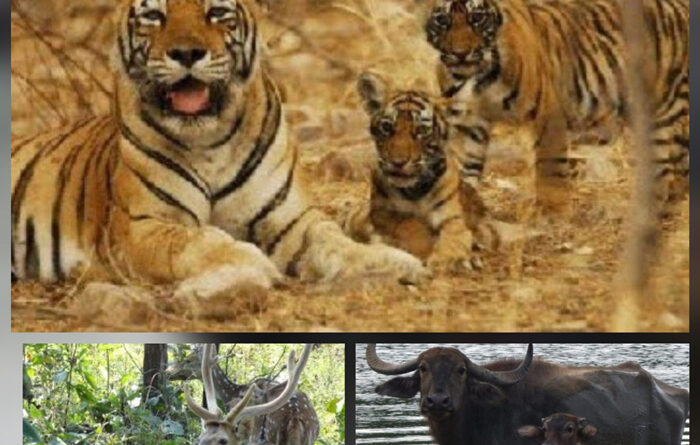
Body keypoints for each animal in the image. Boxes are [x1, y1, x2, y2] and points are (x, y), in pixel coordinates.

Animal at [11, 0, 428, 298]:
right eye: (154, 15)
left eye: (216, 12)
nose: (186, 53)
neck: (209, 141)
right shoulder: (140, 228)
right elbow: (199, 241)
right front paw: (254, 263)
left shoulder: (291, 220)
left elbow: (334, 240)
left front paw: (391, 261)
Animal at [347, 71, 480, 273]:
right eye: (387, 127)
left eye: (421, 130)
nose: (398, 162)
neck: (416, 189)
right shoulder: (384, 213)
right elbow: (409, 226)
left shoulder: (452, 217)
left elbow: (455, 236)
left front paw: (450, 260)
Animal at [424, 0, 689, 208]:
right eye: (442, 20)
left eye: (477, 18)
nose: (460, 53)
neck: (476, 78)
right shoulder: (468, 123)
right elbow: (463, 170)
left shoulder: (547, 113)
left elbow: (549, 167)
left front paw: (551, 214)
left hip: (668, 106)